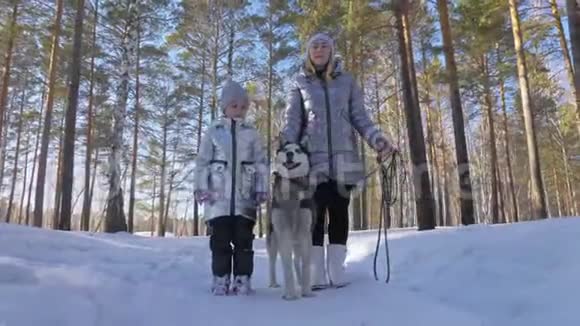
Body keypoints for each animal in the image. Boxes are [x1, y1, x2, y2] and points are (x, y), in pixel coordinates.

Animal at [266, 140, 314, 300]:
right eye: (285, 149)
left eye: (298, 150)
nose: (289, 154)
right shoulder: (283, 233)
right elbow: (286, 266)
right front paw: (290, 294)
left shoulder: (305, 233)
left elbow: (306, 265)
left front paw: (306, 291)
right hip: (273, 240)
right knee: (272, 262)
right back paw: (273, 283)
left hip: (297, 241)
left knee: (297, 260)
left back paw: (300, 281)